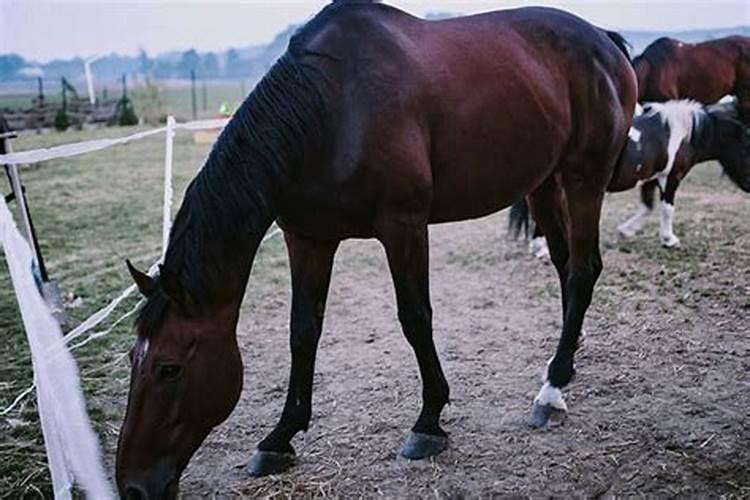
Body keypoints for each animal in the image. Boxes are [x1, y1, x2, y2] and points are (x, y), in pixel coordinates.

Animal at [114, 1, 636, 498]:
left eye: (169, 368)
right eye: (131, 361)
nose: (133, 486)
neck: (332, 110)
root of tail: (604, 42)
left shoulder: (403, 226)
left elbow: (415, 318)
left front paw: (428, 422)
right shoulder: (308, 239)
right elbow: (303, 331)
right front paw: (280, 437)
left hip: (583, 179)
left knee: (583, 270)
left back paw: (551, 389)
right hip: (544, 184)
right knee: (567, 266)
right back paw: (563, 367)